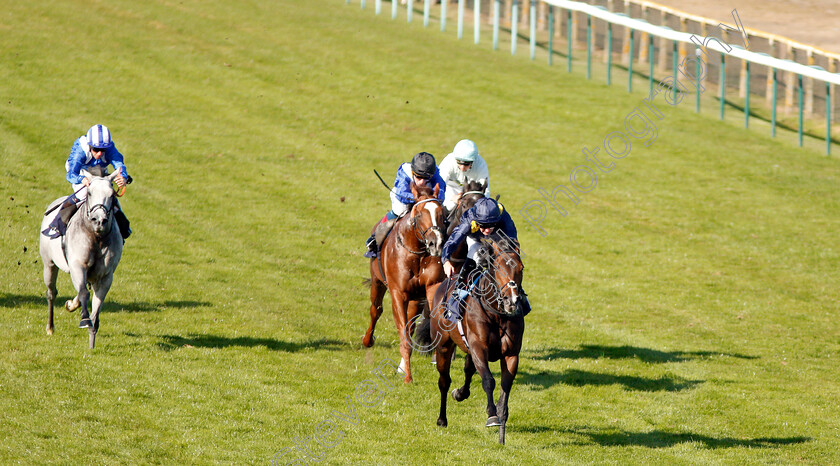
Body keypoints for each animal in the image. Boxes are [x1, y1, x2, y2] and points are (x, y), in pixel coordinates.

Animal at [39, 173, 123, 348]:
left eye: (112, 195)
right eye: (89, 192)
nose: (99, 221)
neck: (96, 237)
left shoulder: (105, 276)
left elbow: (96, 309)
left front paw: (92, 342)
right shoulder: (78, 266)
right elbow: (84, 292)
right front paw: (84, 319)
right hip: (49, 264)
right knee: (52, 293)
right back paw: (50, 327)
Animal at [364, 182, 450, 382]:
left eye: (442, 214)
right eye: (419, 214)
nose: (436, 243)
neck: (416, 253)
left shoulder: (431, 287)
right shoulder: (398, 293)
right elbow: (403, 336)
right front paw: (408, 378)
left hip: (415, 300)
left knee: (410, 326)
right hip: (378, 282)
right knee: (375, 310)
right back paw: (367, 341)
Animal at [418, 233, 528, 444]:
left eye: (520, 268)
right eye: (498, 267)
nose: (512, 301)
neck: (497, 314)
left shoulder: (511, 354)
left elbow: (505, 389)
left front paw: (501, 434)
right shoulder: (479, 347)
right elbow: (488, 380)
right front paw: (492, 416)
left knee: (468, 370)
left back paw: (460, 393)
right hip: (443, 346)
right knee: (444, 381)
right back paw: (442, 419)